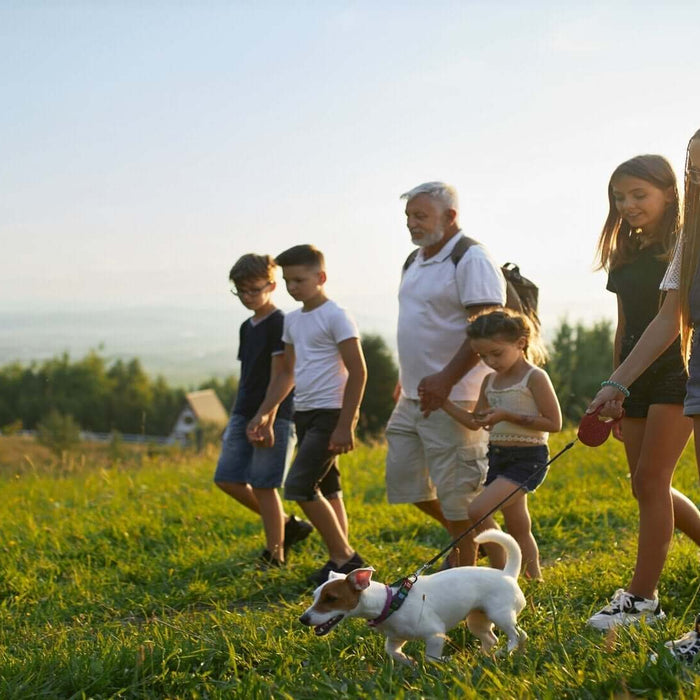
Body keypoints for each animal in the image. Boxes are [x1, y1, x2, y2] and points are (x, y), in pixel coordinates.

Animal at [298, 528, 528, 664]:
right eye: (315, 596)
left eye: (331, 598)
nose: (303, 619)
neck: (390, 603)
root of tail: (508, 574)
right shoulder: (396, 638)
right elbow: (392, 651)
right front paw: (409, 661)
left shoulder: (435, 634)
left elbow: (431, 658)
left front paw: (438, 664)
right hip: (477, 619)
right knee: (491, 638)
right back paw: (484, 656)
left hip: (501, 614)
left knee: (518, 635)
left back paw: (505, 652)